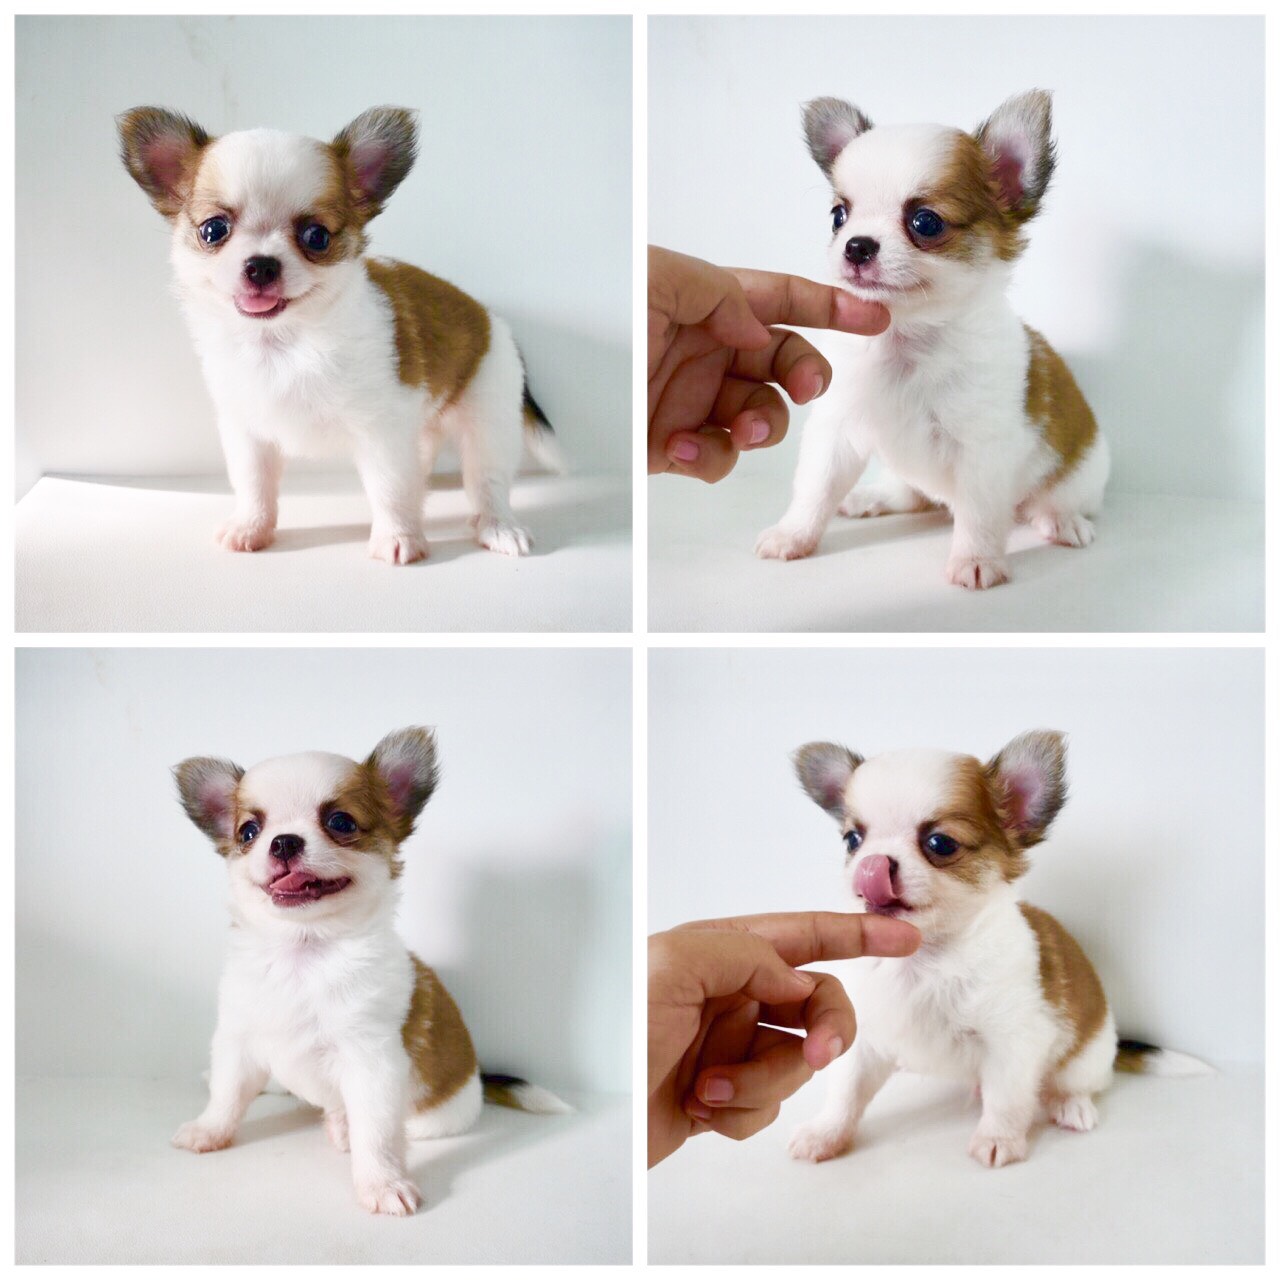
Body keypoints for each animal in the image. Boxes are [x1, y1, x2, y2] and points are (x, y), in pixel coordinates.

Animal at [118, 106, 557, 564]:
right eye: (213, 230)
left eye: (317, 236)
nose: (261, 265)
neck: (285, 343)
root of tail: (489, 320)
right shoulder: (248, 431)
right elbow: (254, 485)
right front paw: (251, 527)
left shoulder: (383, 433)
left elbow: (390, 488)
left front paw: (397, 535)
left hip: (489, 417)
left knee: (488, 479)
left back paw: (499, 526)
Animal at [173, 726, 568, 1216]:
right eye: (249, 831)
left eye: (340, 822)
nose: (283, 841)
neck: (303, 952)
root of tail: (477, 1077)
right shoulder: (239, 1040)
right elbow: (227, 1094)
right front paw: (209, 1129)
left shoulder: (370, 1062)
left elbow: (375, 1133)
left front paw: (381, 1181)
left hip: (433, 1118)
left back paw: (343, 1127)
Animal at [757, 91, 1107, 588]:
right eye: (838, 217)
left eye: (925, 222)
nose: (856, 245)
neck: (906, 337)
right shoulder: (837, 427)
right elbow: (815, 488)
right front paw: (794, 534)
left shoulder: (982, 450)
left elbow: (979, 513)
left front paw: (977, 559)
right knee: (913, 493)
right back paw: (875, 497)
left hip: (1080, 473)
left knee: (1050, 501)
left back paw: (1061, 521)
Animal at [788, 730, 1207, 1168]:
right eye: (853, 840)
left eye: (940, 843)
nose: (871, 865)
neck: (924, 957)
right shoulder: (866, 1040)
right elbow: (845, 1095)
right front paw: (825, 1134)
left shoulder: (1013, 1043)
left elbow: (1006, 1100)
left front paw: (998, 1138)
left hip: (1085, 1057)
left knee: (1076, 1083)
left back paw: (1071, 1105)